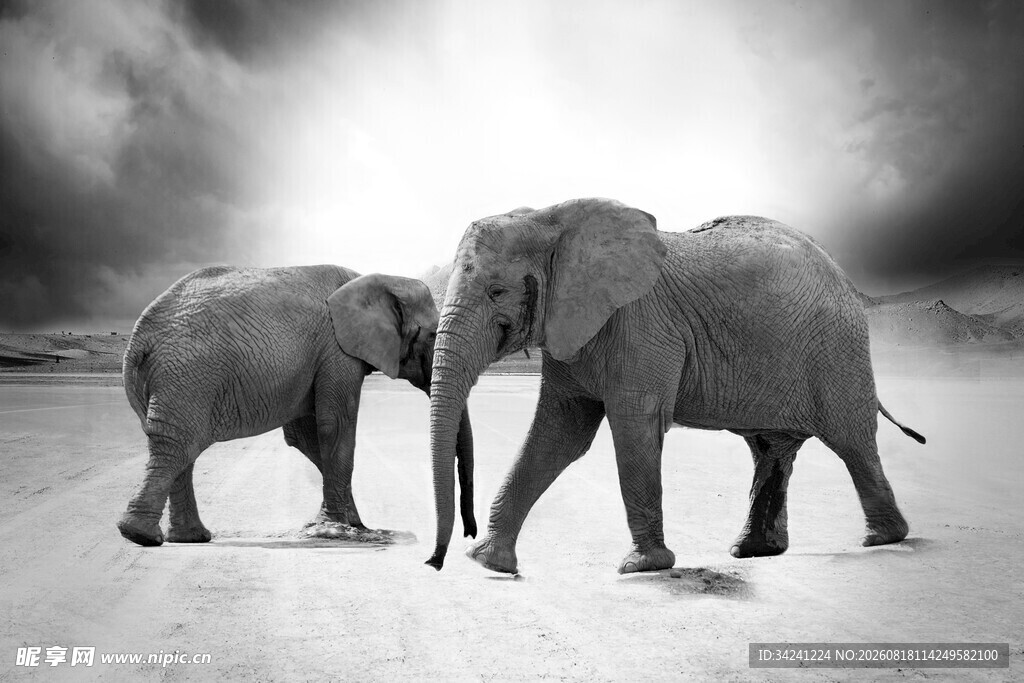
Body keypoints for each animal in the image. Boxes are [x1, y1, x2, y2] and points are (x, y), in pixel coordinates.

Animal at [117, 264, 476, 547]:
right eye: (433, 335)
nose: (469, 535)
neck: (378, 279)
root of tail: (138, 339)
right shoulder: (336, 350)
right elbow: (334, 427)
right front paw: (339, 528)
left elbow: (306, 436)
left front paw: (355, 524)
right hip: (187, 376)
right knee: (178, 446)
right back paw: (141, 536)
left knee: (180, 449)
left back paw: (188, 538)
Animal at [424, 198, 925, 574]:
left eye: (496, 292)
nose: (435, 562)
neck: (551, 220)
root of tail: (843, 276)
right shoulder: (573, 331)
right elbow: (559, 434)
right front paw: (489, 562)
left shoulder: (641, 325)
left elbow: (634, 425)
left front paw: (643, 567)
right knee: (771, 450)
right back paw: (753, 551)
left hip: (838, 351)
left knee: (851, 441)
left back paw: (882, 538)